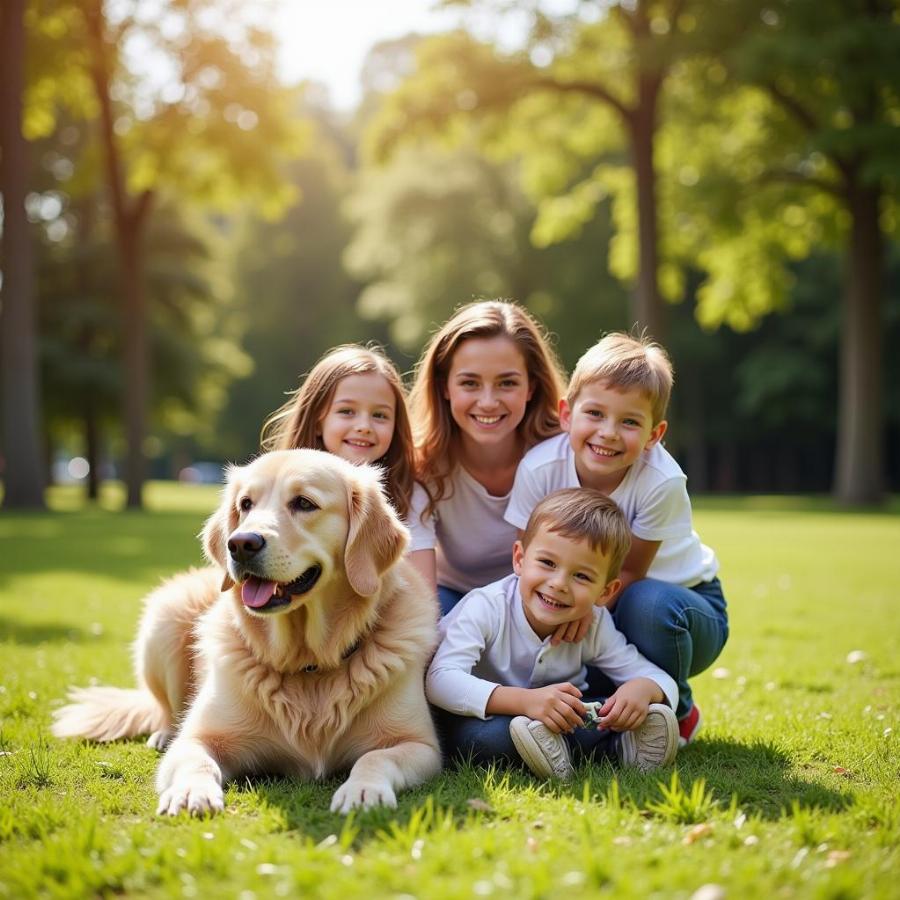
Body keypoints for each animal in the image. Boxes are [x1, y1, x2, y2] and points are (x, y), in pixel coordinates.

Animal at [51, 450, 442, 816]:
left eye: (304, 503)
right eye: (245, 504)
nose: (240, 544)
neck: (309, 664)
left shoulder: (420, 746)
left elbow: (375, 757)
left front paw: (362, 790)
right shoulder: (200, 737)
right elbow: (197, 759)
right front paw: (191, 792)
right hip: (164, 618)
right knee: (162, 708)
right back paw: (163, 732)